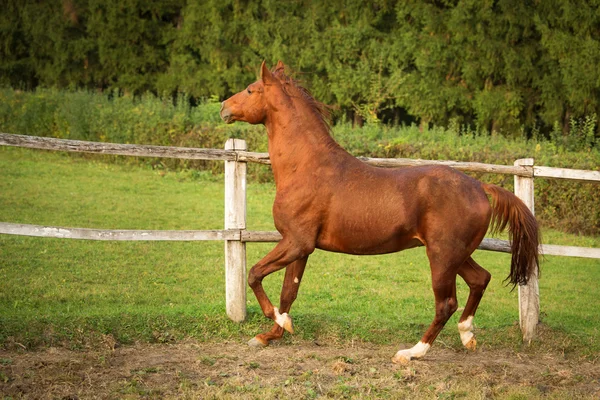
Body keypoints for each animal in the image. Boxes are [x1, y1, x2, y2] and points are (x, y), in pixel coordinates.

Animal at [219, 61, 540, 362]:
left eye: (250, 89)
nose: (223, 108)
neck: (307, 167)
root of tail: (480, 187)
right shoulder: (300, 246)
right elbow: (289, 292)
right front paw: (272, 334)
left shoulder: (297, 242)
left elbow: (254, 274)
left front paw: (277, 321)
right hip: (455, 255)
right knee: (479, 279)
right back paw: (466, 336)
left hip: (442, 256)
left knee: (446, 303)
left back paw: (411, 353)